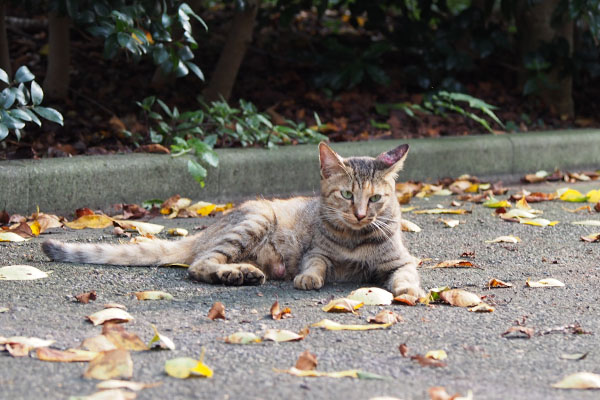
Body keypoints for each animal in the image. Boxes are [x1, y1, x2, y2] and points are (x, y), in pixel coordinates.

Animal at [42, 142, 424, 296]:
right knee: (200, 265)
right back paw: (236, 274)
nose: (360, 214)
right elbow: (314, 265)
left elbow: (406, 275)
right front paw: (308, 279)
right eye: (346, 195)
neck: (356, 239)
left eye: (375, 199)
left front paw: (408, 290)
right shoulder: (317, 253)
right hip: (256, 219)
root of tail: (209, 228)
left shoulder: (402, 260)